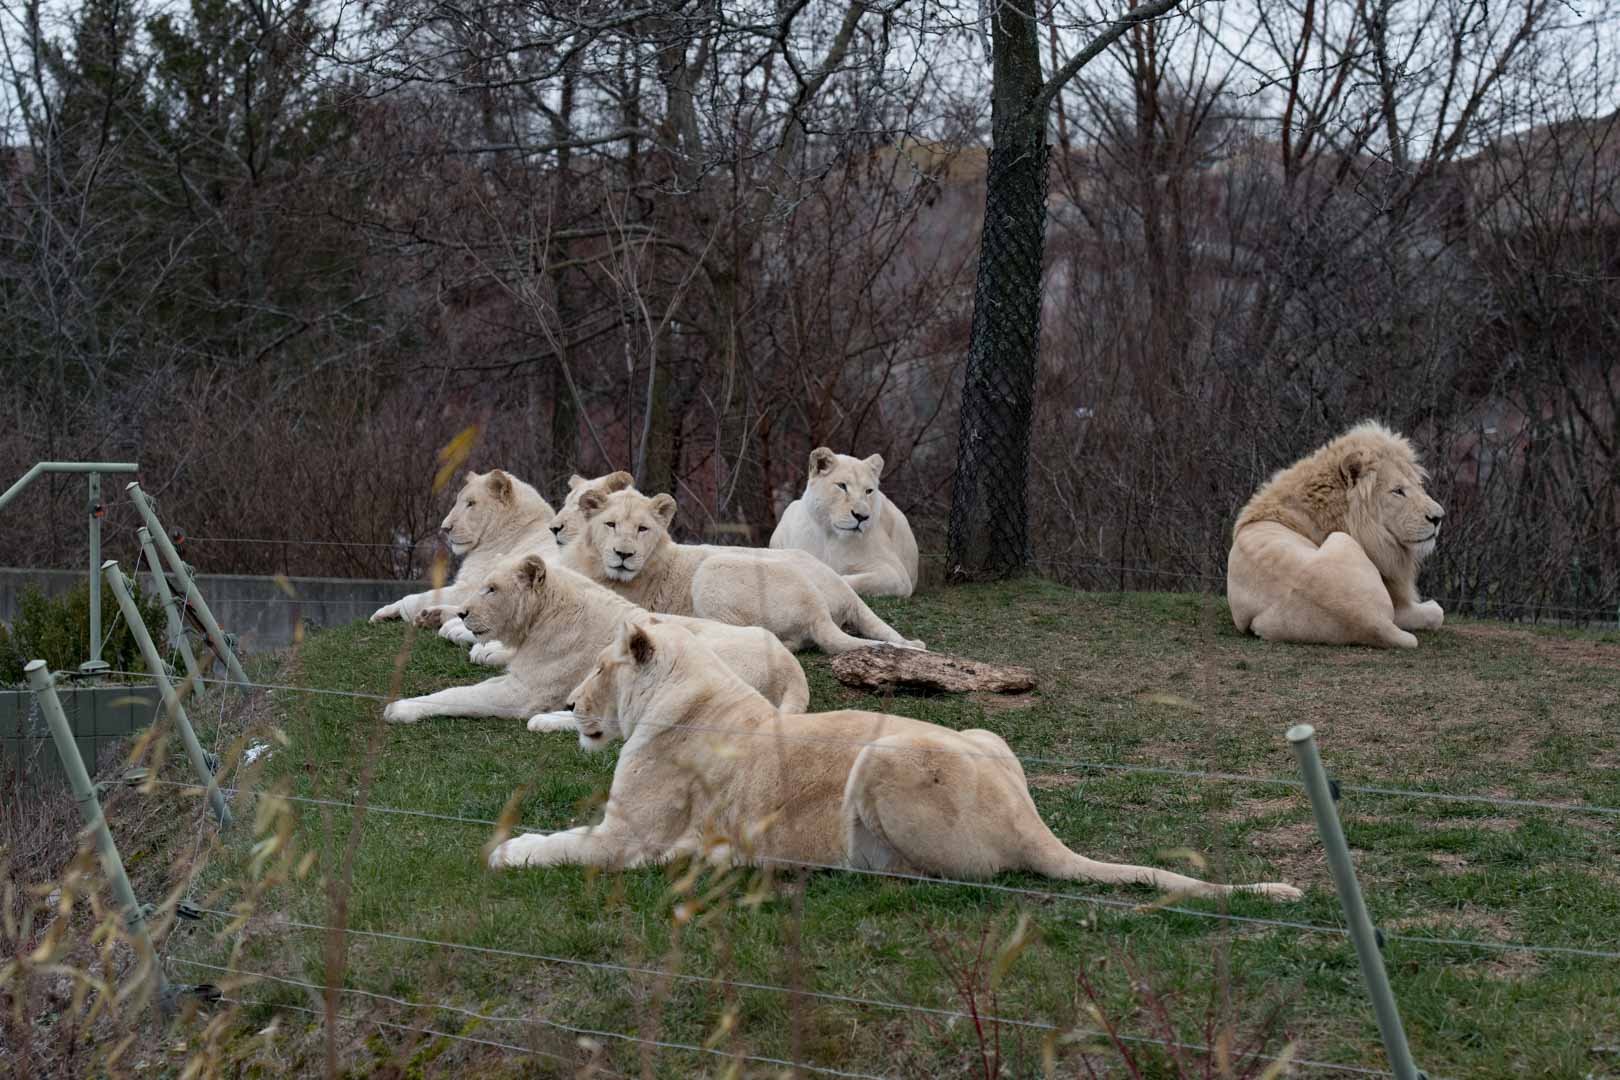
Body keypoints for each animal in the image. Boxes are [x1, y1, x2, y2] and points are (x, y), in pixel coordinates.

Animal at [369, 469, 555, 629]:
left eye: (471, 503)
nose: (445, 528)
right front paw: (384, 614)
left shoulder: (473, 584)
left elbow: (425, 596)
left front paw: (392, 610)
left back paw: (432, 616)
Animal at [383, 553, 809, 724]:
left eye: (492, 589)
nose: (464, 613)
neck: (540, 620)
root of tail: (793, 669)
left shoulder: (525, 693)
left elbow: (459, 695)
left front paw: (401, 708)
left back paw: (548, 719)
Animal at [487, 620, 1302, 904]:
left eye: (600, 668)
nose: (577, 703)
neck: (685, 687)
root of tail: (1029, 821)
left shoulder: (628, 836)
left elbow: (561, 847)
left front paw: (509, 852)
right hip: (985, 735)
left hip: (884, 755)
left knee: (949, 875)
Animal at [769, 448, 920, 597]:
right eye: (842, 486)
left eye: (869, 491)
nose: (861, 516)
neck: (831, 539)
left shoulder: (898, 574)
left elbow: (856, 580)